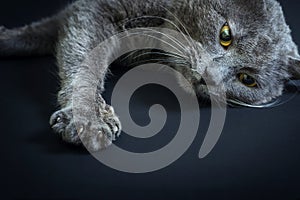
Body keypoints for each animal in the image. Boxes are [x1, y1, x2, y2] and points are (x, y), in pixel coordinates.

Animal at [0, 0, 300, 150]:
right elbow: (86, 59)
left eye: (247, 80)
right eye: (225, 35)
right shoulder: (94, 9)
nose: (208, 76)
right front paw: (89, 120)